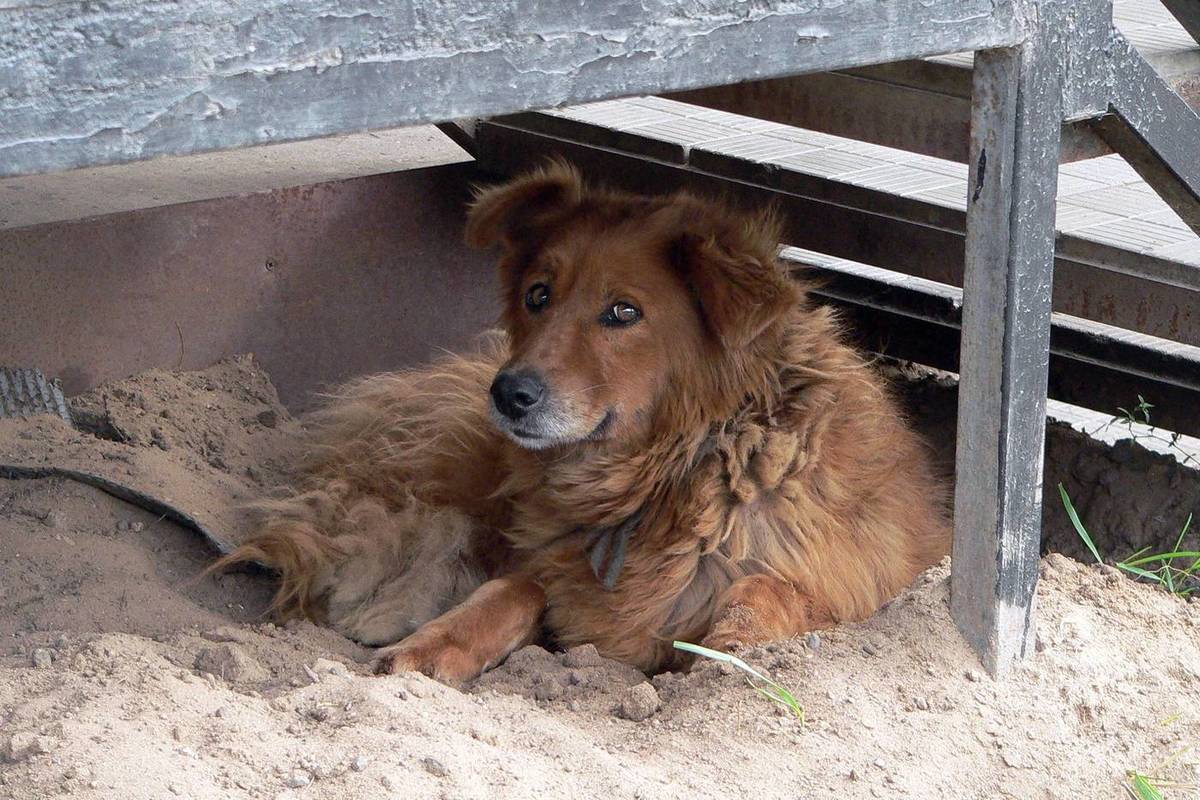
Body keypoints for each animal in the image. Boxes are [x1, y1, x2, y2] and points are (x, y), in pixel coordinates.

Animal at [213, 160, 945, 681]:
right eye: (538, 296)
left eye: (623, 312)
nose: (509, 393)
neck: (669, 475)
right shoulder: (557, 575)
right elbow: (510, 588)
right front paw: (432, 645)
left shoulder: (854, 576)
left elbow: (777, 592)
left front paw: (733, 643)